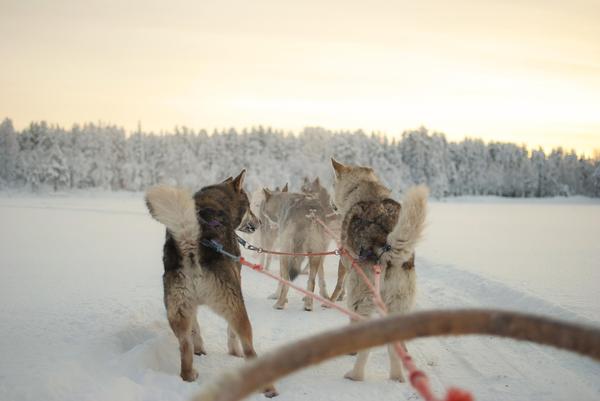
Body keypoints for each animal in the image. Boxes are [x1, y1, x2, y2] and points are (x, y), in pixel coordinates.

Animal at [144, 170, 278, 396]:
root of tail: (191, 246)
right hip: (237, 310)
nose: (259, 221)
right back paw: (268, 387)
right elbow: (232, 335)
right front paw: (234, 353)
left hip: (178, 311)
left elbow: (196, 329)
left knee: (185, 349)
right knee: (249, 349)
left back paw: (190, 374)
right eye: (249, 205)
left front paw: (200, 349)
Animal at [330, 159, 428, 382]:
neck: (365, 190)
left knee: (364, 346)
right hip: (399, 303)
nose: (332, 205)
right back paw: (397, 377)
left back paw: (355, 374)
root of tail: (387, 242)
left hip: (362, 298)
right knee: (395, 347)